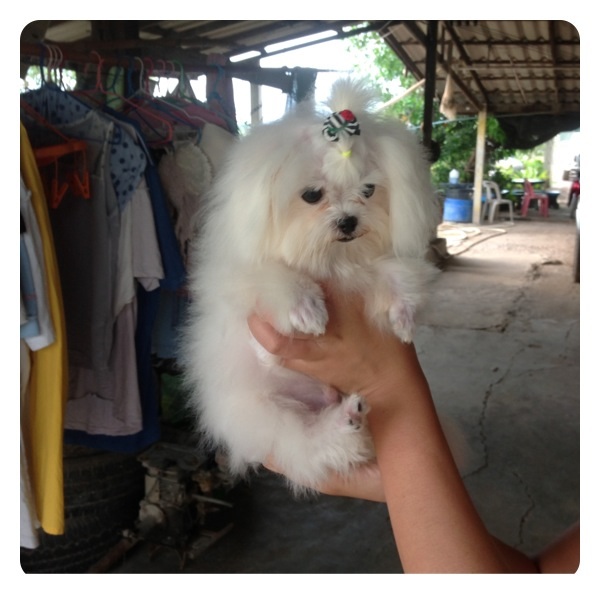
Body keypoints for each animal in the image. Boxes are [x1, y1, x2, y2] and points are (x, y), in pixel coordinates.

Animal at [180, 79, 441, 493]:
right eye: (312, 195)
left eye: (368, 191)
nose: (348, 221)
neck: (332, 260)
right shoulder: (242, 287)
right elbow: (272, 277)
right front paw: (304, 308)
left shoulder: (367, 267)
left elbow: (397, 272)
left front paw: (403, 314)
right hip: (265, 413)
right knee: (306, 443)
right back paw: (340, 426)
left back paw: (350, 421)